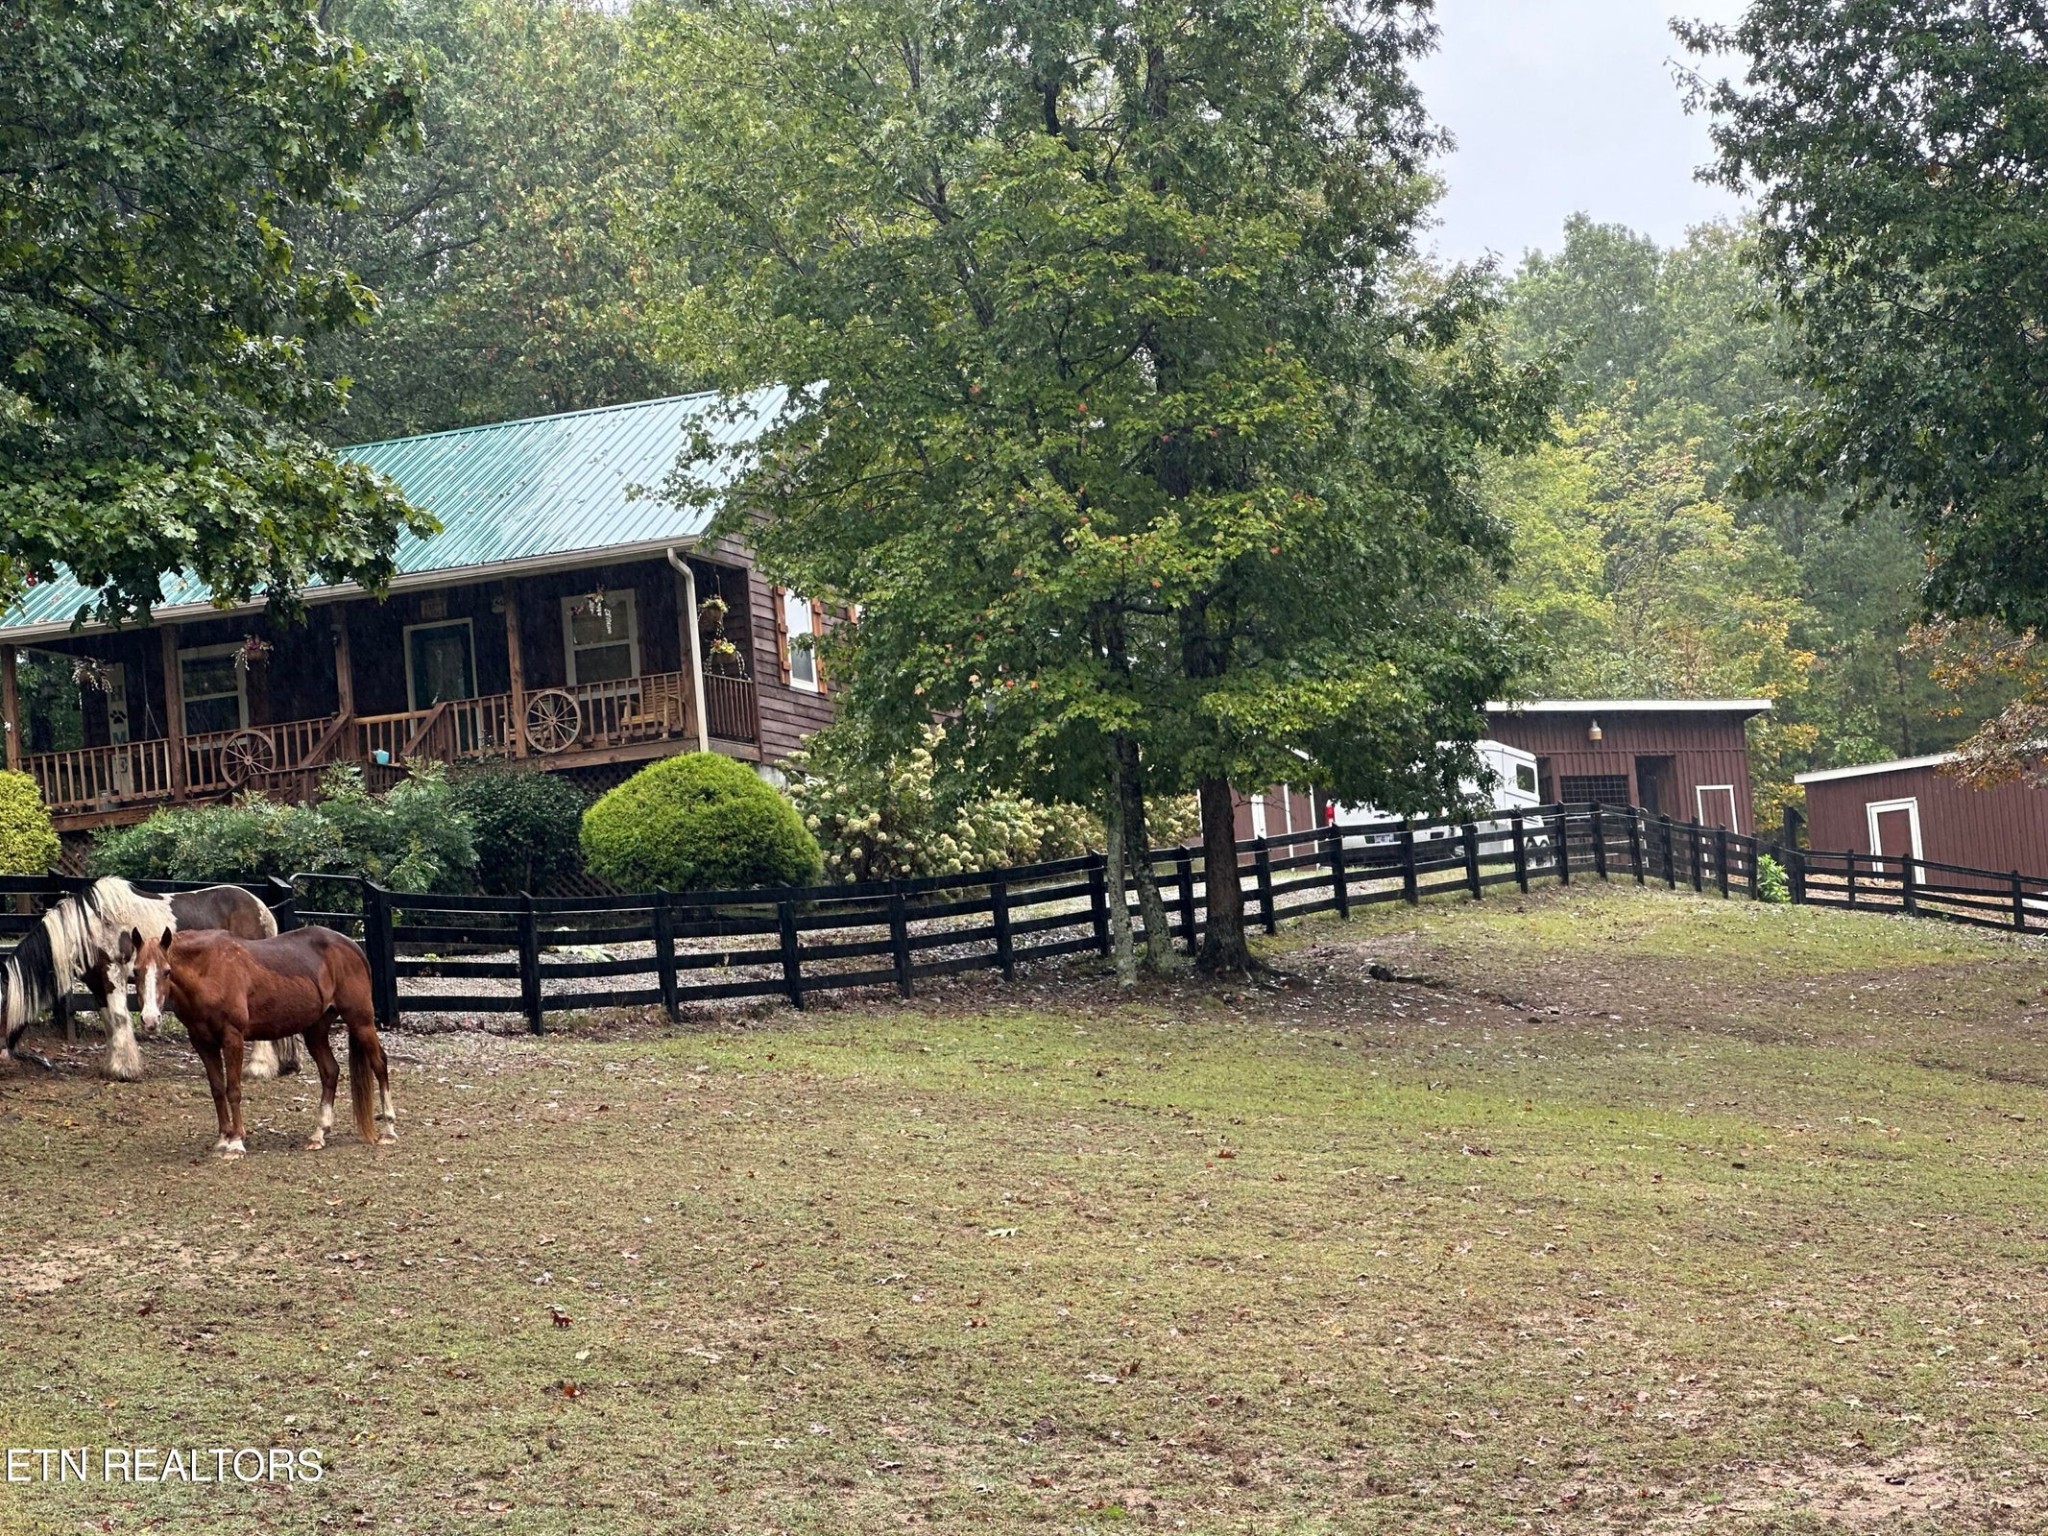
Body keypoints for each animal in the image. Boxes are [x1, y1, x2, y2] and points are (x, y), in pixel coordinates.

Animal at [0, 876, 299, 1081]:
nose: (1, 1057)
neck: (90, 927)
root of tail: (262, 906)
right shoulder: (97, 983)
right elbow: (109, 1021)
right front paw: (113, 1065)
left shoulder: (113, 974)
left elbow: (119, 1018)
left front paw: (125, 1070)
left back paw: (259, 1067)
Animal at [132, 925, 399, 1155]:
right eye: (136, 971)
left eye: (167, 971)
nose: (149, 1019)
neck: (208, 969)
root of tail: (352, 947)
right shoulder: (202, 1043)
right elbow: (217, 1089)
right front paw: (223, 1138)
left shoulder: (233, 1037)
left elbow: (233, 1089)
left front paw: (236, 1143)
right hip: (316, 1030)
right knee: (330, 1072)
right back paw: (318, 1134)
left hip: (360, 1021)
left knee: (379, 1063)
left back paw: (388, 1129)